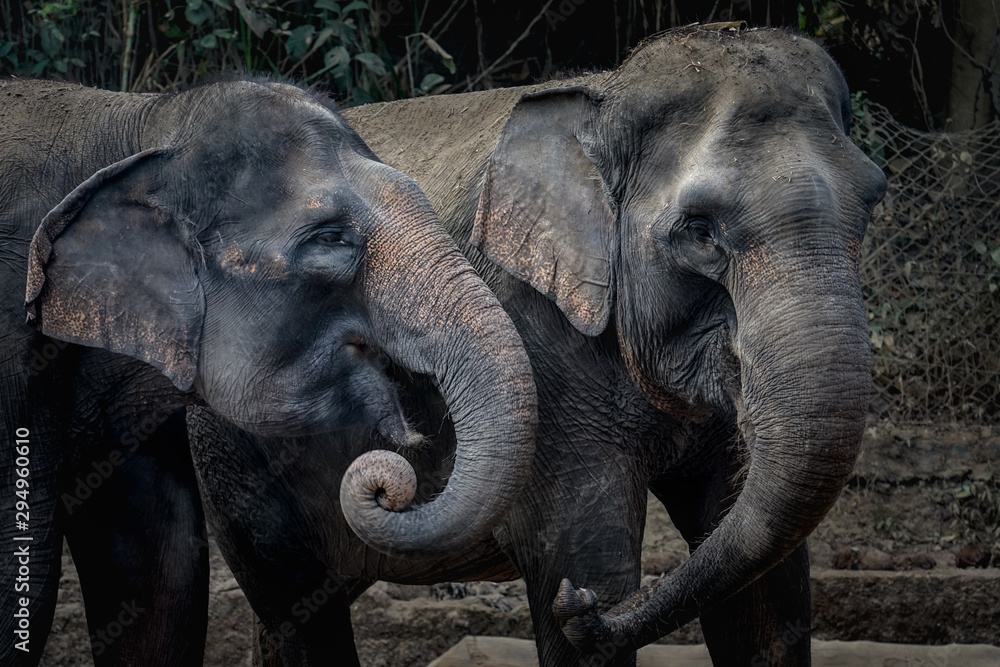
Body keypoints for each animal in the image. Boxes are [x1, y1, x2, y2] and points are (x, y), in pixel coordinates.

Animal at [190, 25, 887, 666]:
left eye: (873, 201)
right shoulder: (534, 345)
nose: (583, 610)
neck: (603, 95)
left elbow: (766, 595)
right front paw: (578, 601)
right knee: (292, 595)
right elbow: (586, 552)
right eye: (699, 230)